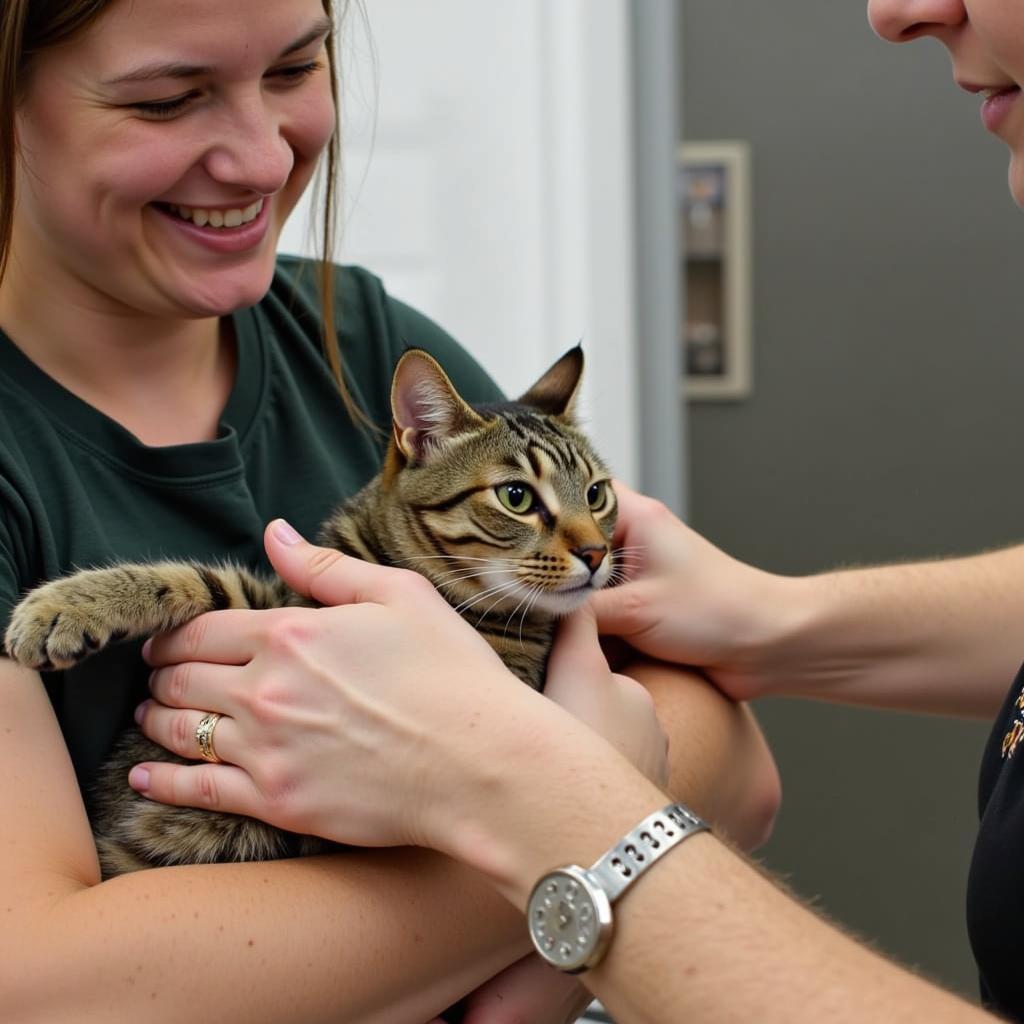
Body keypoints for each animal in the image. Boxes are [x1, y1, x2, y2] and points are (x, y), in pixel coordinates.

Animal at [4, 348, 614, 876]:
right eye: (516, 496)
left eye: (596, 494)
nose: (596, 552)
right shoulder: (273, 601)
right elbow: (197, 577)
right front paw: (59, 608)